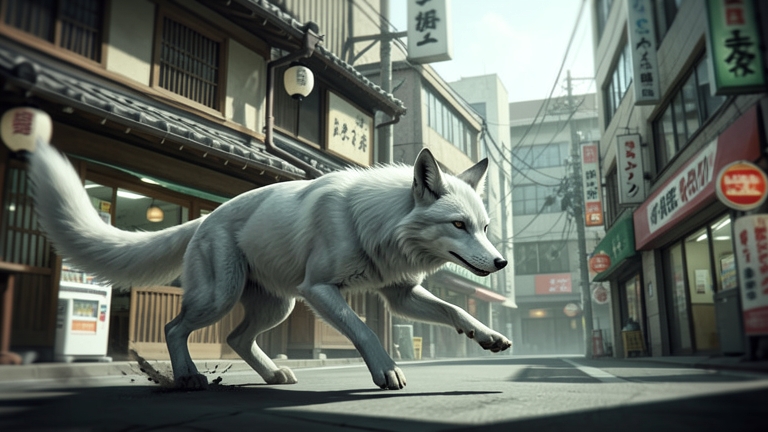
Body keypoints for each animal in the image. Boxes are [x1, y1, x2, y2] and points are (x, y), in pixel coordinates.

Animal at [28, 140, 511, 390]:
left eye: (486, 227)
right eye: (459, 224)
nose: (501, 261)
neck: (375, 221)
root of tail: (205, 217)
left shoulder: (400, 295)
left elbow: (455, 310)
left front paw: (488, 337)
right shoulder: (321, 290)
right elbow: (364, 330)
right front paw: (387, 371)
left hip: (279, 307)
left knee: (237, 339)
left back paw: (274, 373)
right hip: (224, 298)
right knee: (174, 327)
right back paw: (188, 376)